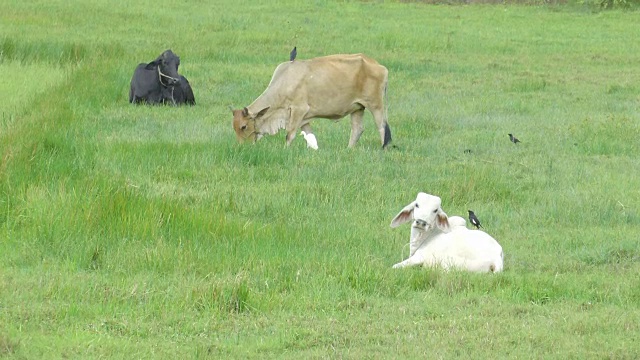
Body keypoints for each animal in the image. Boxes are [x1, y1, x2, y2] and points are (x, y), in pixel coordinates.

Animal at [230, 53, 390, 148]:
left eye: (244, 126)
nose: (241, 147)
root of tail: (379, 65)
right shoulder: (304, 119)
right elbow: (310, 136)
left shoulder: (298, 110)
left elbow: (289, 134)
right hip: (357, 108)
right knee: (357, 129)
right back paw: (349, 149)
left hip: (376, 105)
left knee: (382, 126)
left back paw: (383, 149)